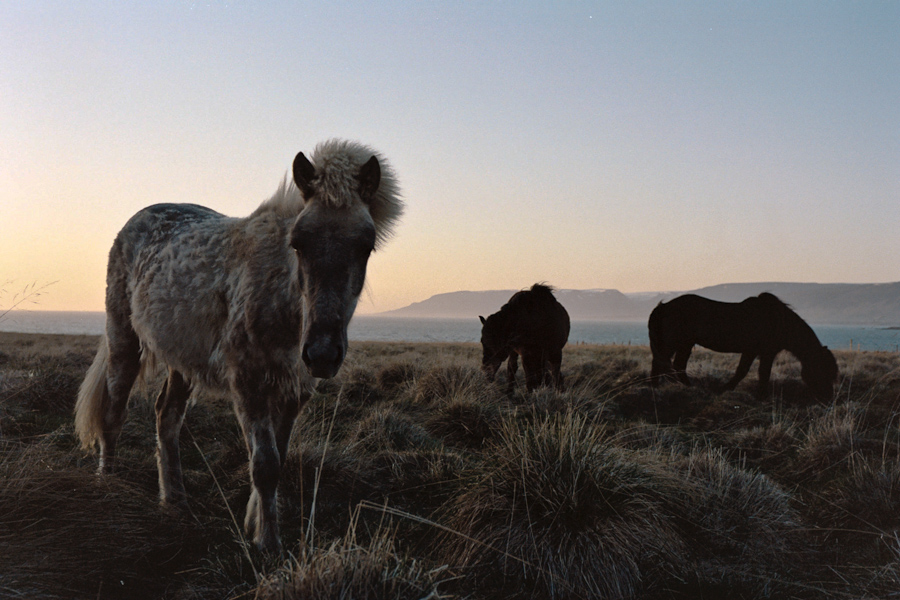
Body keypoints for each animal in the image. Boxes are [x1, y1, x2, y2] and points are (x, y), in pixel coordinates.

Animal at [74, 139, 404, 552]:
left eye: (366, 245)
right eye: (298, 243)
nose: (322, 354)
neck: (279, 295)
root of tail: (135, 221)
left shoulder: (294, 389)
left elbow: (278, 457)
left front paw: (255, 524)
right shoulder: (248, 382)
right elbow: (264, 464)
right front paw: (268, 544)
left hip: (183, 360)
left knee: (167, 416)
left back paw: (175, 500)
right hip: (123, 340)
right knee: (113, 413)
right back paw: (108, 485)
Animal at [648, 292, 836, 400]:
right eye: (822, 370)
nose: (828, 399)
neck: (777, 321)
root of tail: (664, 306)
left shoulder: (760, 352)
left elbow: (753, 372)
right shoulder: (757, 351)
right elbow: (751, 372)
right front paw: (757, 395)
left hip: (685, 344)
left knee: (675, 365)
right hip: (674, 343)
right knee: (662, 363)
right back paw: (659, 387)